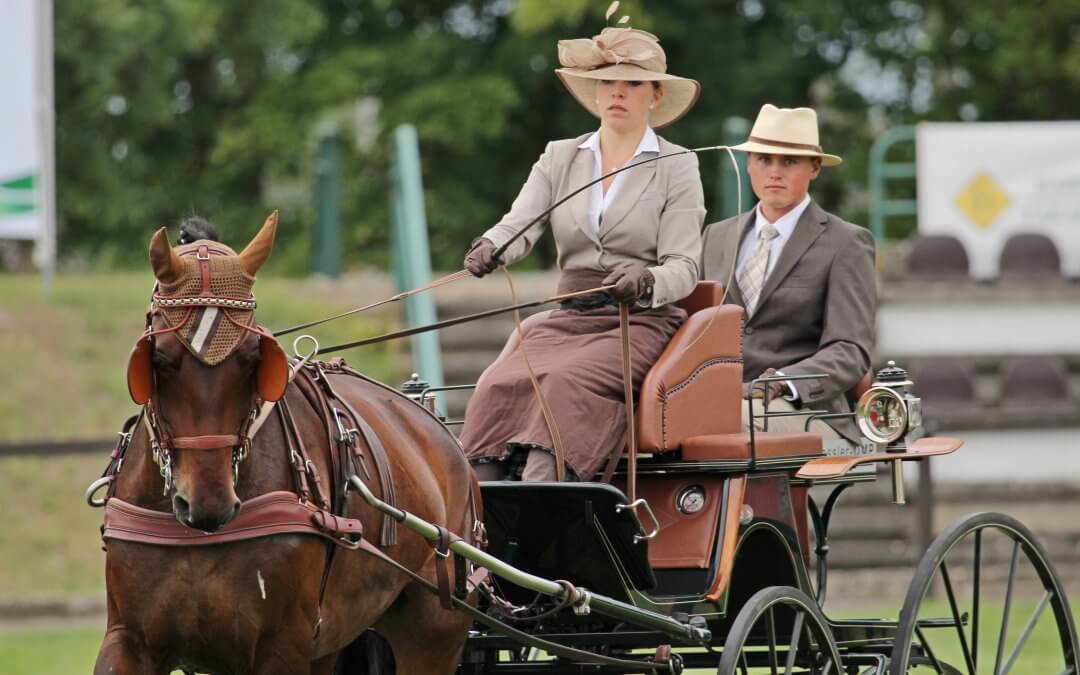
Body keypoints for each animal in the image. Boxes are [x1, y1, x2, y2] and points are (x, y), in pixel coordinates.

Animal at [93, 213, 477, 675]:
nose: (208, 504)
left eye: (252, 358)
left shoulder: (282, 645)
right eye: (161, 359)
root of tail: (438, 427)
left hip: (432, 629)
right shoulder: (129, 639)